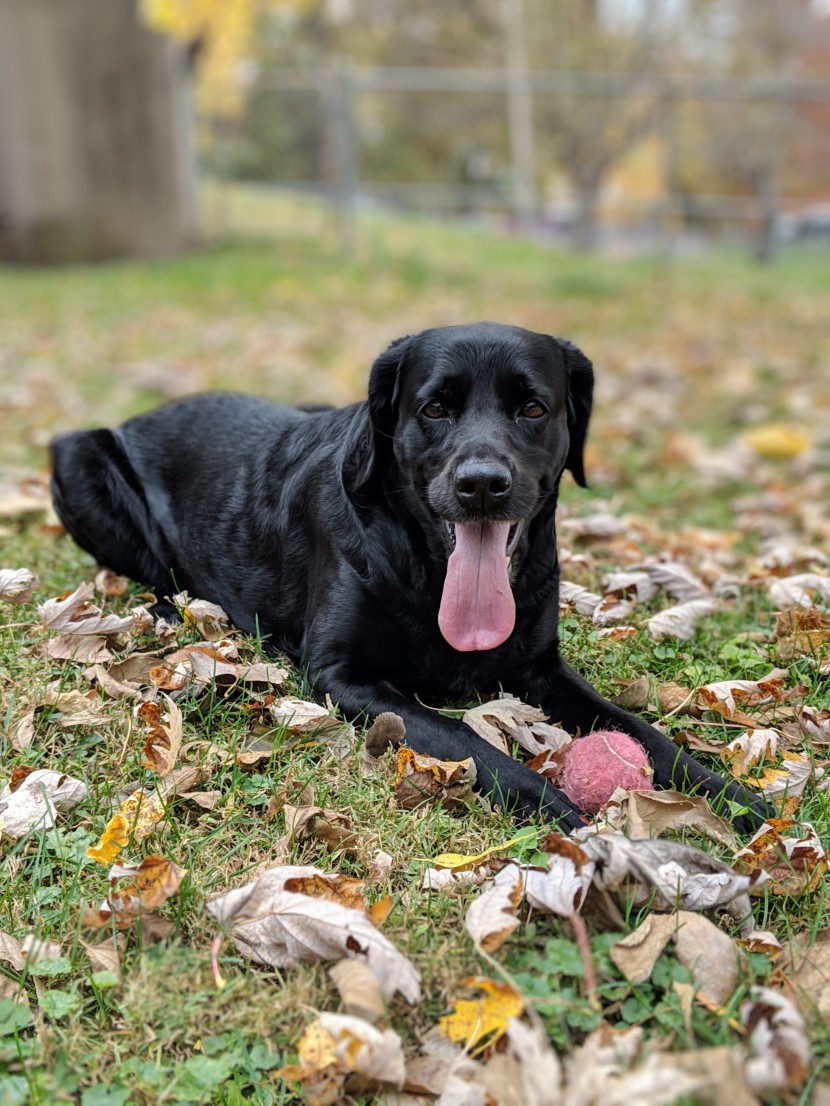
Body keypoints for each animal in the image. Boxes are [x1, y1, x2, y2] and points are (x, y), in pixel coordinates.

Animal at [52, 320, 770, 831]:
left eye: (534, 409)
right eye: (434, 409)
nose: (481, 483)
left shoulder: (542, 667)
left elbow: (640, 732)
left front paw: (733, 798)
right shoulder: (345, 675)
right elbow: (463, 736)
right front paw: (559, 808)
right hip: (78, 454)